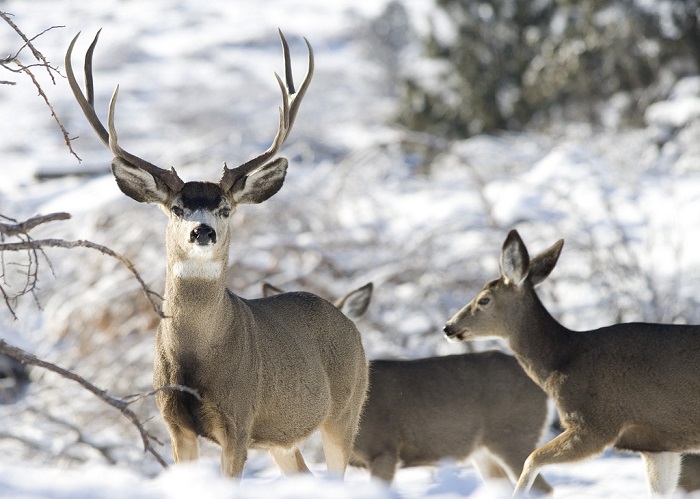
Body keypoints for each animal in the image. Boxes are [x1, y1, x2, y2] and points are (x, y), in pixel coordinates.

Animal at [66, 29, 370, 478]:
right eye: (176, 207)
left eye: (225, 208)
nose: (203, 230)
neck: (198, 355)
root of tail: (348, 321)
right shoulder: (174, 422)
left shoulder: (238, 419)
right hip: (282, 438)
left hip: (345, 411)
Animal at [442, 230, 700, 496]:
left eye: (484, 300)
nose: (449, 327)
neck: (562, 360)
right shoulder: (657, 444)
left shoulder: (595, 423)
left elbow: (532, 459)